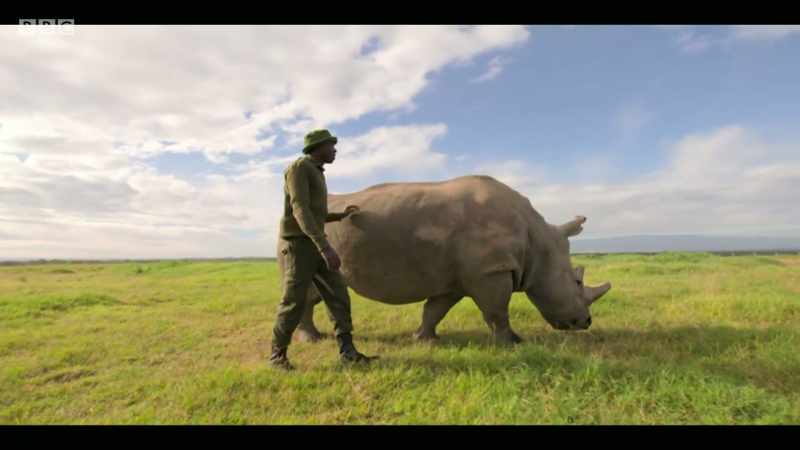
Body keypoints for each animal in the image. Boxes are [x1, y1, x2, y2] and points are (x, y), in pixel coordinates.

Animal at [295, 175, 612, 344]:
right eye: (577, 281)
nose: (585, 322)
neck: (537, 241)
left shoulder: (457, 279)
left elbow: (435, 309)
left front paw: (424, 340)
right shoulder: (490, 272)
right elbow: (498, 310)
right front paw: (513, 343)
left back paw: (315, 337)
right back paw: (313, 340)